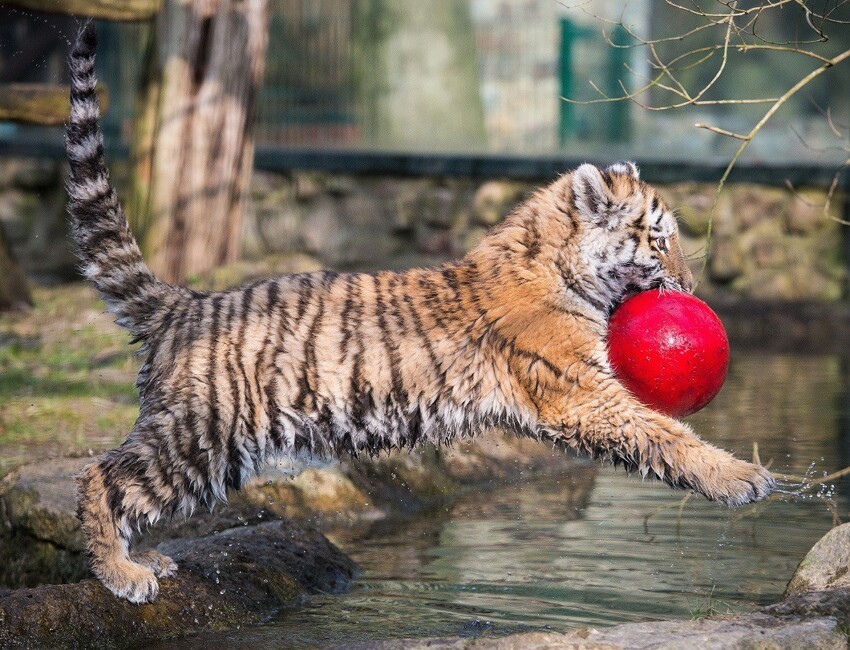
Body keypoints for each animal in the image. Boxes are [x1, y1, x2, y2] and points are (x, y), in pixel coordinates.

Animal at [64, 25, 768, 604]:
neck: (561, 266)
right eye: (660, 239)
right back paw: (122, 574)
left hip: (218, 448)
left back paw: (148, 559)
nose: (691, 285)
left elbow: (656, 436)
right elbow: (665, 434)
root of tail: (185, 301)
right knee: (101, 475)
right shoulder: (579, 393)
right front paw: (744, 478)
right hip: (200, 429)